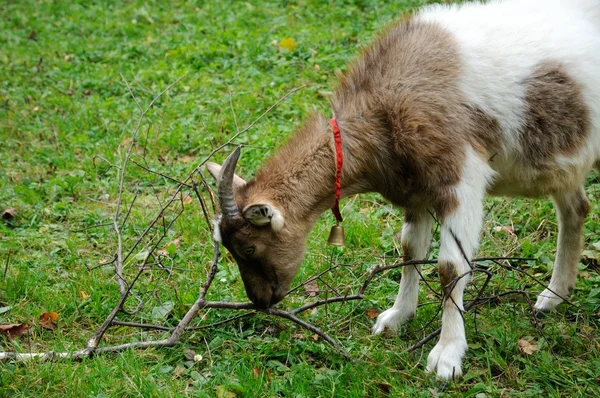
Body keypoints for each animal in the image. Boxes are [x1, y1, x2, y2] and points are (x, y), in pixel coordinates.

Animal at [206, 0, 600, 380]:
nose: (260, 300)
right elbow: (411, 250)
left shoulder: (462, 177)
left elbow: (450, 266)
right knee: (576, 209)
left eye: (249, 247)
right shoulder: (417, 189)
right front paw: (396, 318)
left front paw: (447, 356)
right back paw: (553, 297)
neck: (386, 105)